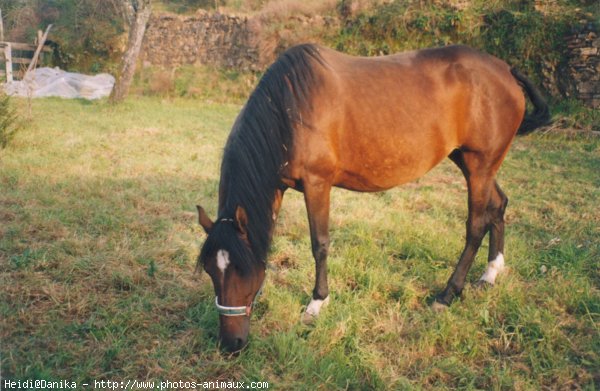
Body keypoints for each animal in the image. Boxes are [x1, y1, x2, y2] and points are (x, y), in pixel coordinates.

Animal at [195, 44, 552, 354]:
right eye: (211, 271)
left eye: (241, 271)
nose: (231, 344)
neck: (289, 108)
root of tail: (506, 71)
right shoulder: (278, 188)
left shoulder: (317, 184)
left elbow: (319, 244)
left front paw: (316, 304)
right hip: (472, 162)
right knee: (499, 205)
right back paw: (491, 273)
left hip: (479, 165)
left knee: (476, 225)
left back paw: (448, 294)